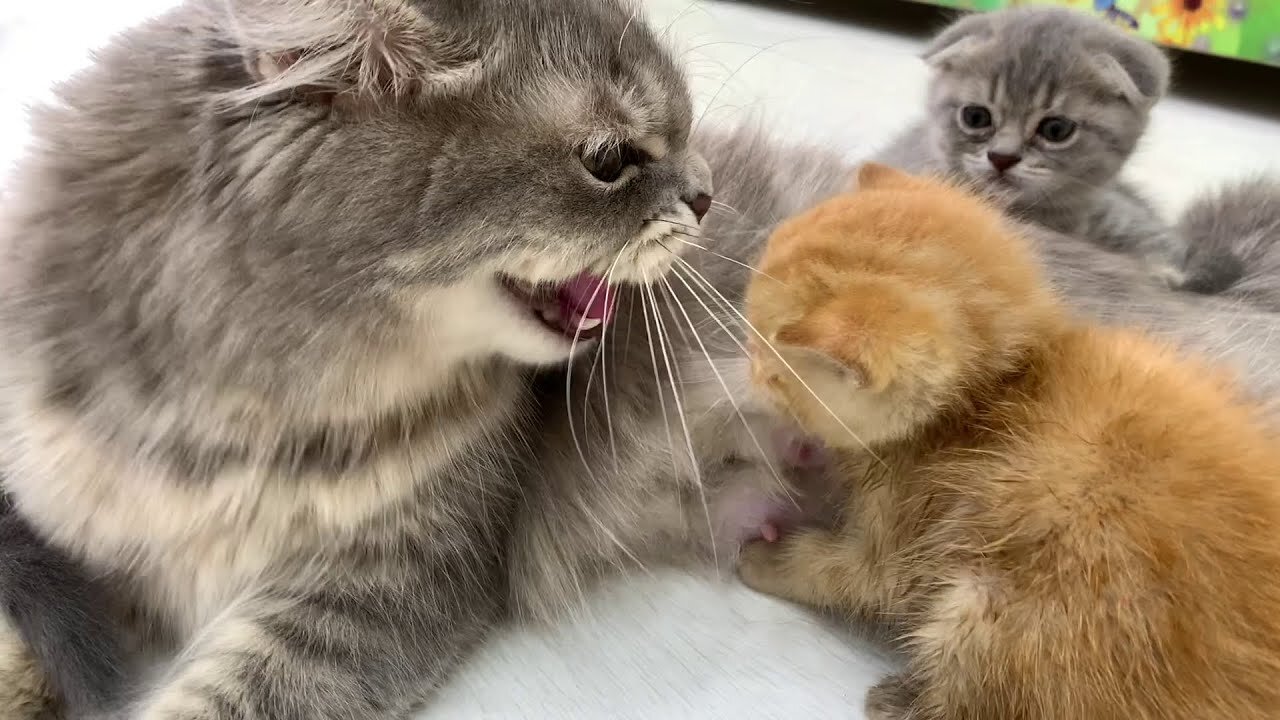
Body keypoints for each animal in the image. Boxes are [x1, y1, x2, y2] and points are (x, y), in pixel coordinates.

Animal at [0, 0, 711, 712]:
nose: (707, 195)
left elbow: (214, 698)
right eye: (608, 160)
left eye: (686, 129)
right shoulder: (61, 535)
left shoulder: (385, 588)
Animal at [737, 162, 1280, 717]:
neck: (994, 393)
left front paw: (771, 559)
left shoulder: (914, 527)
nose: (747, 371)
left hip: (990, 609)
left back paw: (901, 698)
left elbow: (849, 577)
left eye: (771, 366)